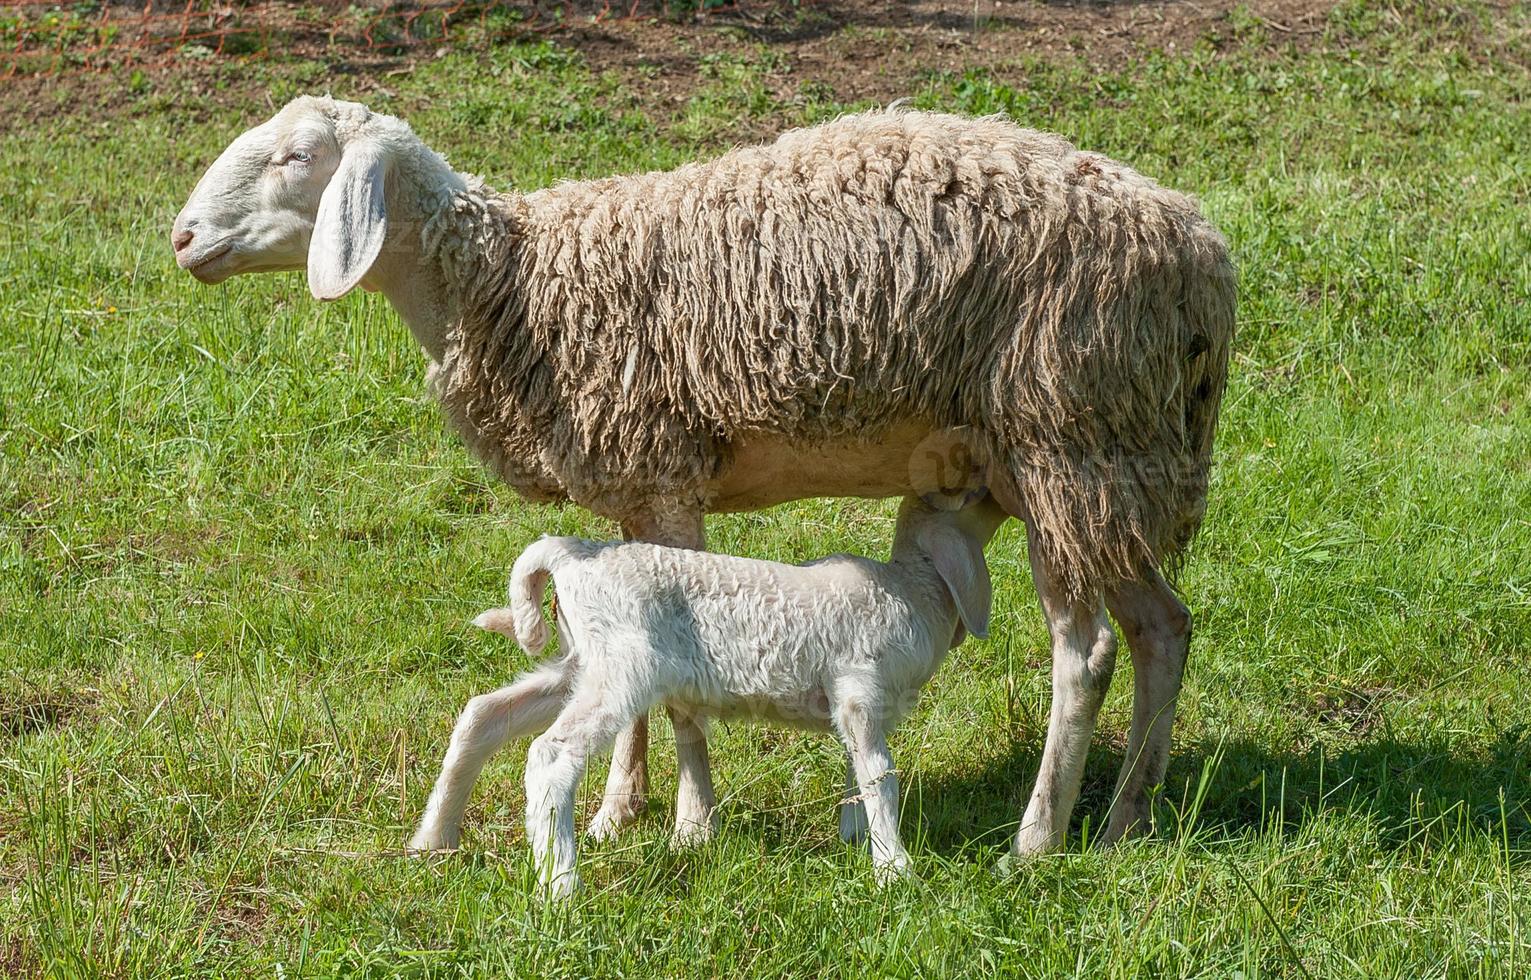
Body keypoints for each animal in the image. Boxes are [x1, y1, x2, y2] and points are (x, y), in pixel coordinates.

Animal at [410, 496, 1004, 894]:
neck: (913, 592)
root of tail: (572, 557)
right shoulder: (859, 690)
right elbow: (881, 776)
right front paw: (895, 870)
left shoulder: (855, 708)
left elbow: (857, 773)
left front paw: (857, 840)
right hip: (622, 667)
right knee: (551, 755)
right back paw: (561, 887)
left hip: (579, 663)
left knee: (483, 715)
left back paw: (434, 839)